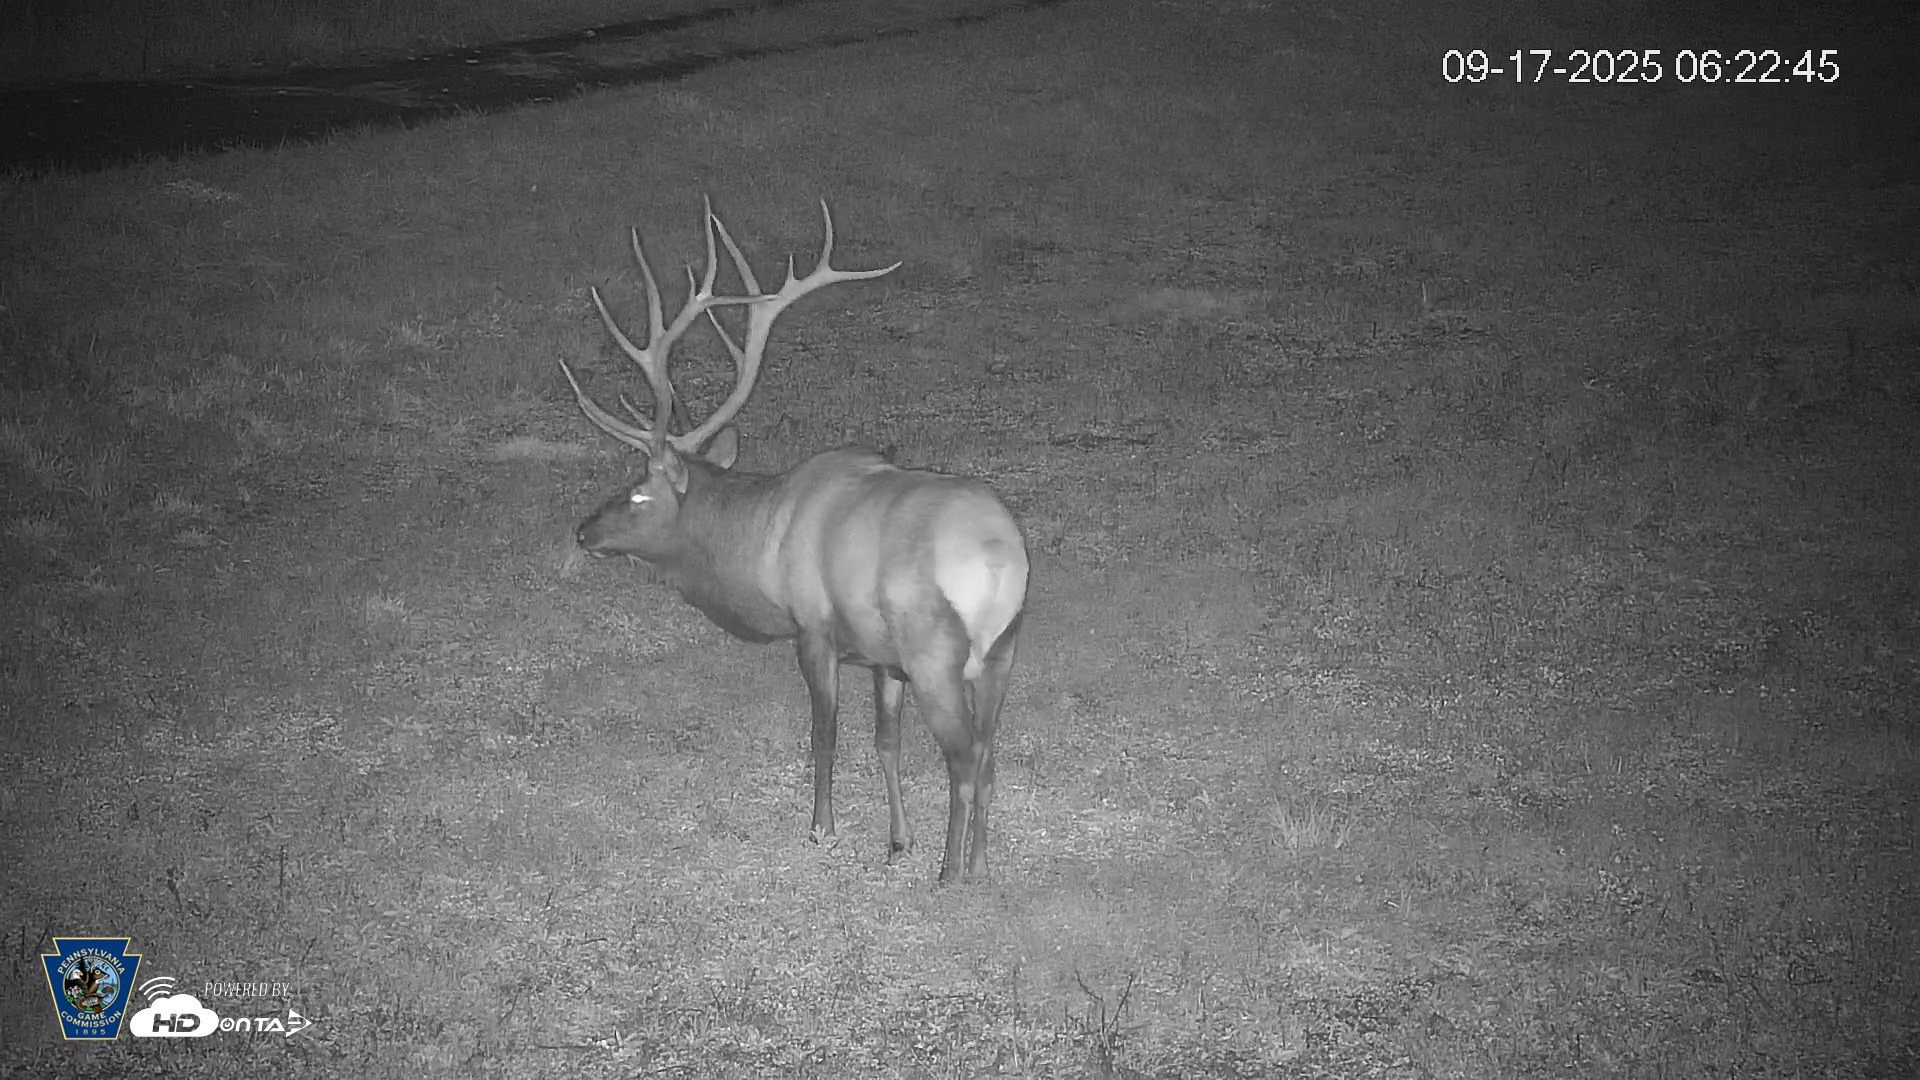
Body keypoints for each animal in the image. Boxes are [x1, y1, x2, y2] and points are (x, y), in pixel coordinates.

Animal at [558, 199, 1028, 884]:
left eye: (639, 495)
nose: (583, 530)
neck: (757, 547)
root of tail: (1001, 560)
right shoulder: (882, 657)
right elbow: (885, 741)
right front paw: (897, 840)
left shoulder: (814, 628)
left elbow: (824, 735)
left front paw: (822, 829)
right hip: (1001, 653)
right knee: (991, 755)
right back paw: (982, 866)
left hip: (935, 652)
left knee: (966, 759)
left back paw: (950, 875)